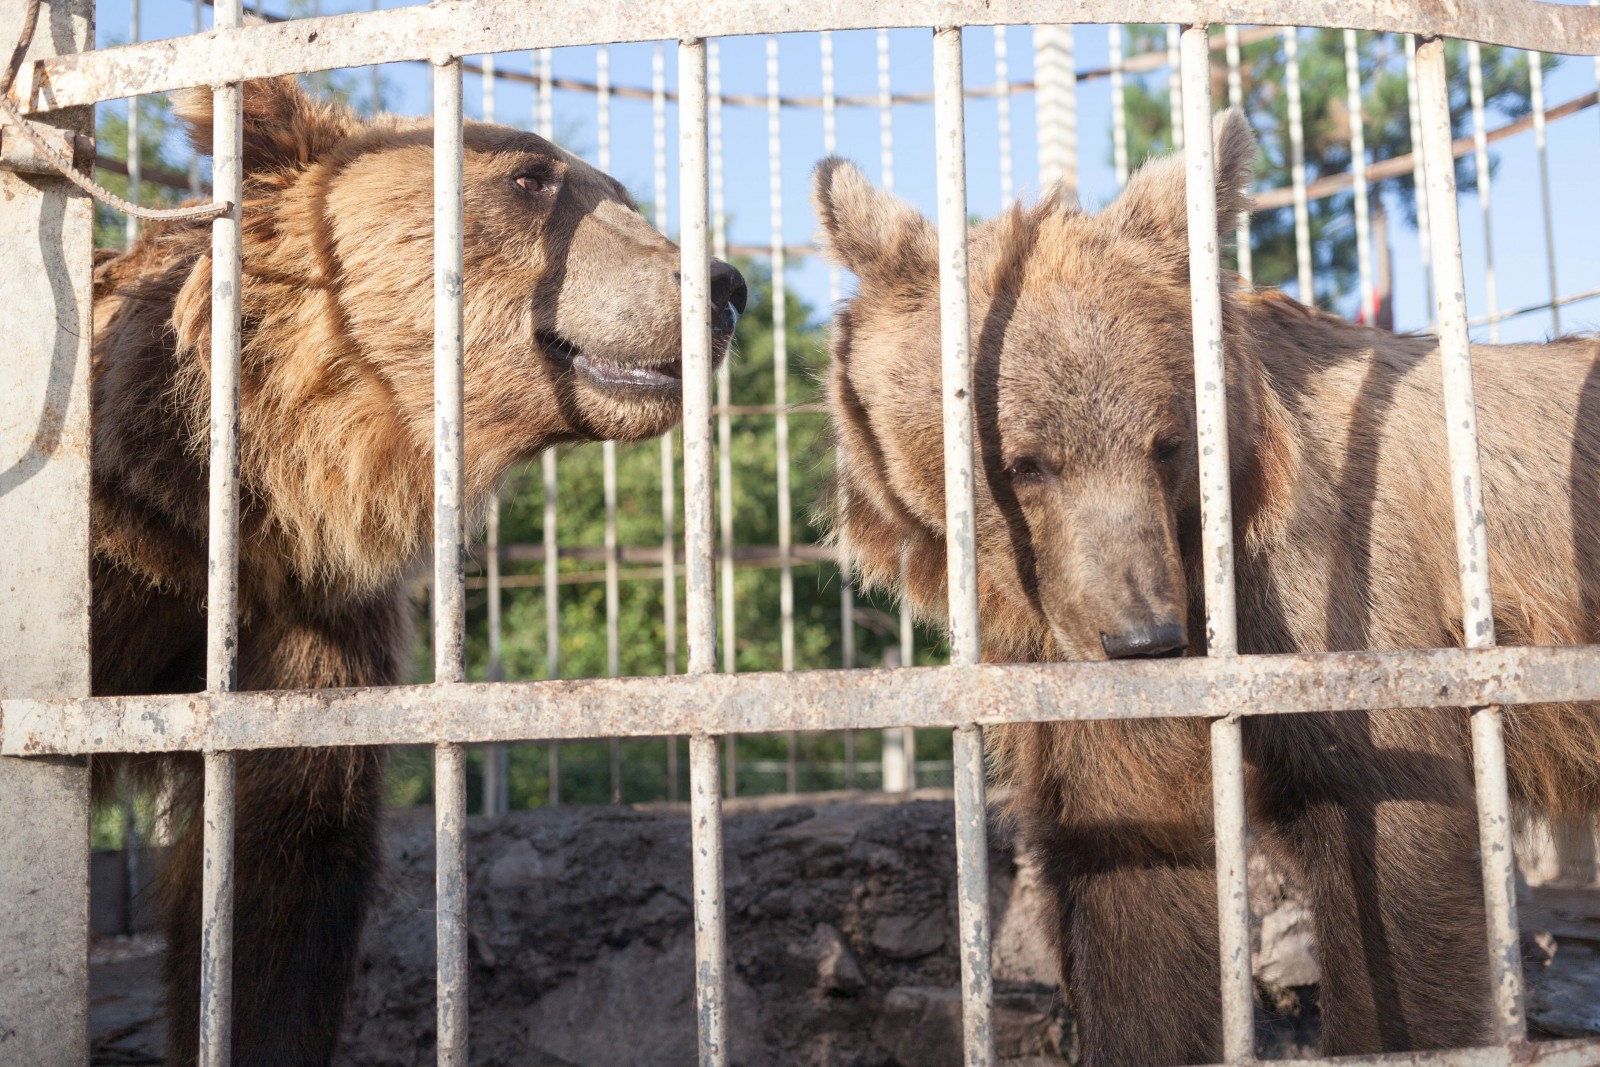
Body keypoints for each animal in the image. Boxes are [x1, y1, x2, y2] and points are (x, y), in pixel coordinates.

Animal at [812, 110, 1600, 1067]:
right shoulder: (1092, 681)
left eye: (1167, 442)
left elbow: (1391, 874)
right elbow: (1135, 870)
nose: (1142, 636)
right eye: (1025, 462)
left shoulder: (1344, 603)